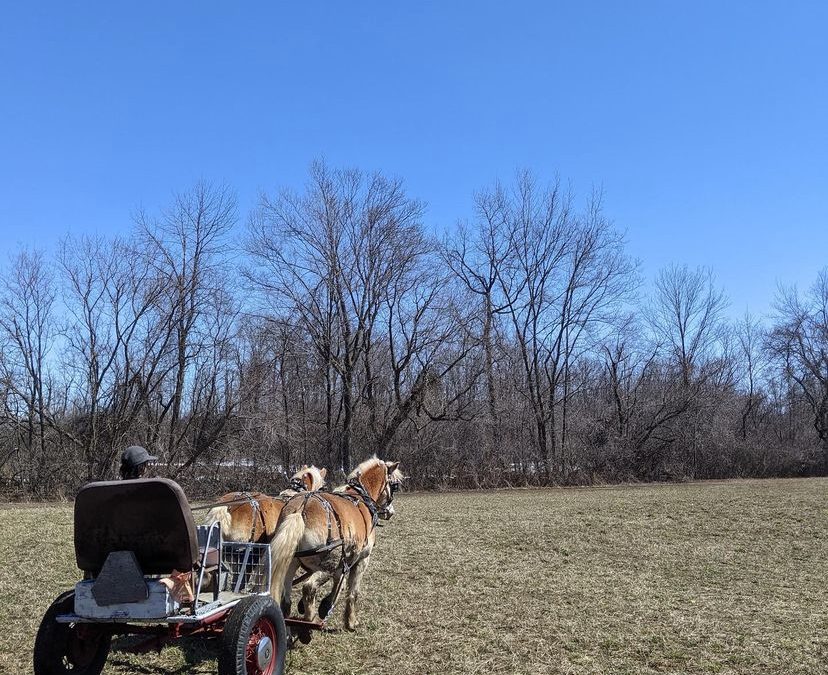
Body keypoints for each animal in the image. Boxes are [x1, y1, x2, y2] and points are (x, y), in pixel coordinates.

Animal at [270, 456, 402, 632]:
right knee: (308, 588)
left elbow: (339, 583)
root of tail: (300, 509)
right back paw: (310, 620)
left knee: (286, 597)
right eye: (394, 485)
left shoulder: (343, 561)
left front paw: (325, 605)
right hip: (327, 565)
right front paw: (350, 621)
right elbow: (352, 592)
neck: (361, 497)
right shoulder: (361, 560)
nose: (390, 512)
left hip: (291, 562)